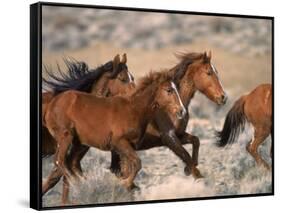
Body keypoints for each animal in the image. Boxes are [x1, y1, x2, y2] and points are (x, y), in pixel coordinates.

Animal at [44, 71, 186, 205]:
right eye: (169, 90)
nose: (182, 111)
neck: (133, 109)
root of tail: (51, 105)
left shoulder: (128, 147)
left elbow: (130, 167)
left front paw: (129, 186)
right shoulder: (119, 143)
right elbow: (137, 163)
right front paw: (124, 183)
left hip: (78, 143)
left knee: (70, 163)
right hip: (66, 137)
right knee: (60, 161)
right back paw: (81, 184)